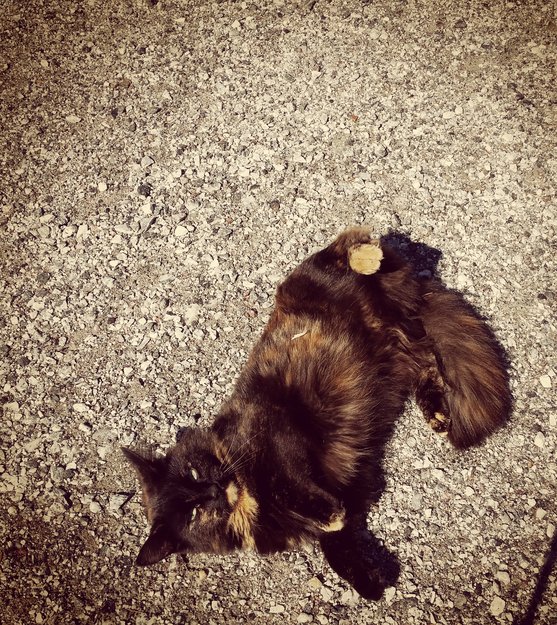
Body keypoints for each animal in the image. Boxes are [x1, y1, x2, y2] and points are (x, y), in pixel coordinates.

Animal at [123, 227, 511, 600]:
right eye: (194, 513)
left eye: (194, 472)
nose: (213, 489)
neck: (248, 502)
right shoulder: (348, 492)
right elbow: (336, 548)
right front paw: (371, 584)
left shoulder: (280, 434)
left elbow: (288, 483)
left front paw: (328, 514)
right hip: (403, 349)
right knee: (427, 358)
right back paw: (438, 415)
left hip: (312, 278)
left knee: (351, 242)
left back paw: (366, 257)